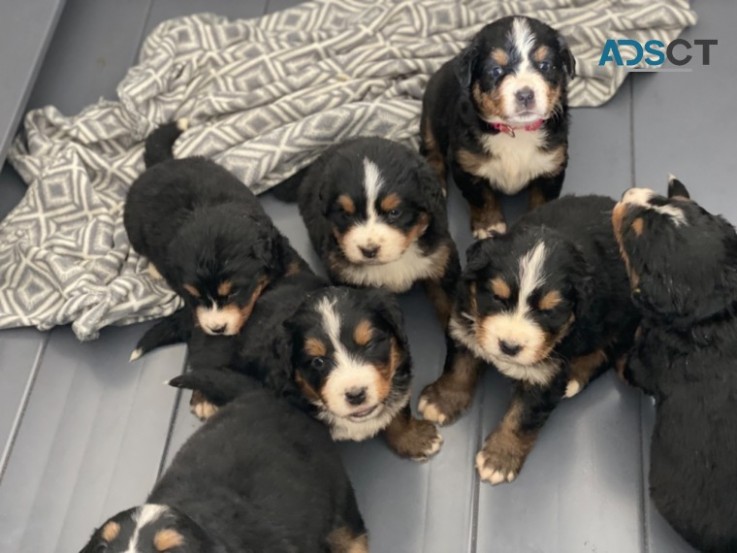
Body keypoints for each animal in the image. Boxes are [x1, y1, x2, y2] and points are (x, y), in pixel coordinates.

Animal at [420, 15, 576, 238]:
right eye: (496, 70)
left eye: (544, 65)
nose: (525, 94)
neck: (516, 131)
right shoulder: (466, 164)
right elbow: (482, 198)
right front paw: (489, 225)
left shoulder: (551, 166)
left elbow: (542, 201)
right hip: (430, 112)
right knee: (431, 150)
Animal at [420, 194, 640, 484]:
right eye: (497, 297)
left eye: (549, 311)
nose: (509, 347)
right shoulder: (465, 324)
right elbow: (459, 368)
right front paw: (442, 401)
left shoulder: (546, 375)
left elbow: (521, 417)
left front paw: (499, 458)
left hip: (622, 318)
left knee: (607, 351)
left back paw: (575, 378)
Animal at [612, 178, 736, 552]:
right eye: (666, 202)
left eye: (633, 232)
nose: (626, 193)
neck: (714, 314)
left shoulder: (647, 360)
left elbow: (630, 362)